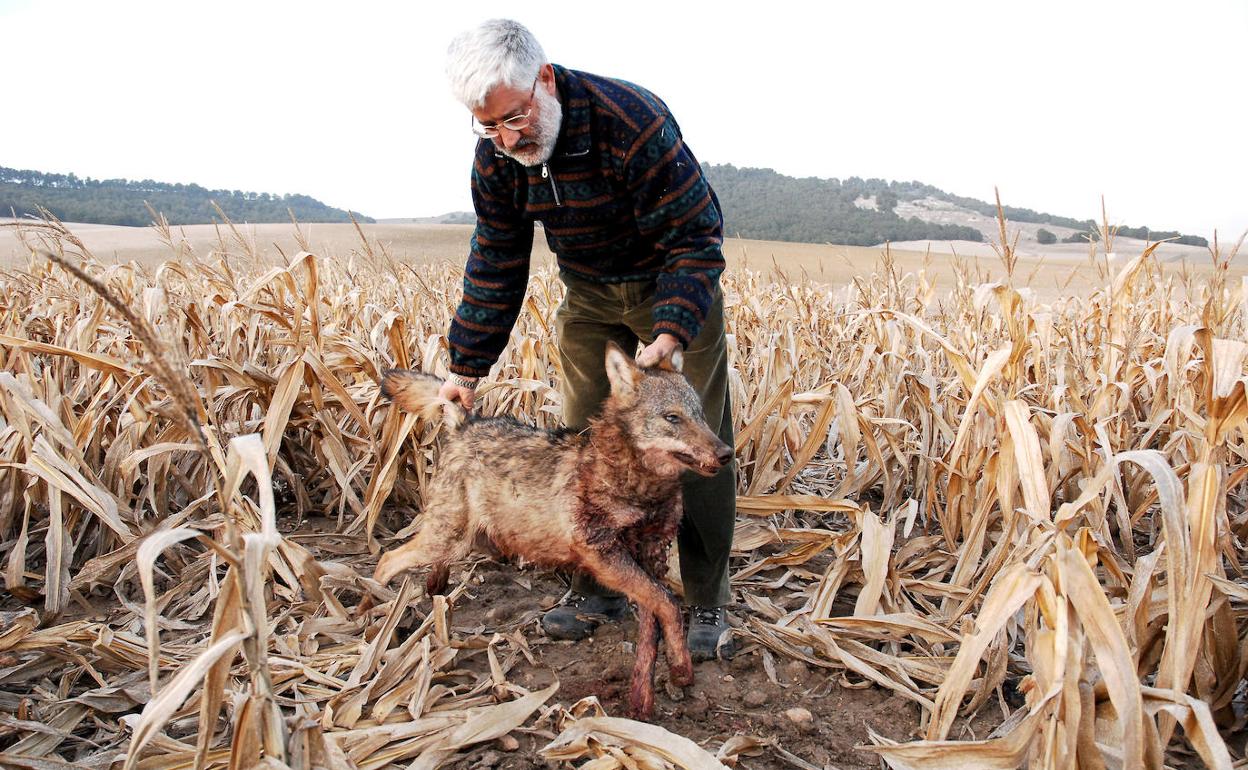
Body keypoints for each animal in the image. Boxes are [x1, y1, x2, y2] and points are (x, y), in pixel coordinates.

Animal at [374, 339, 733, 718]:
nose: (726, 453)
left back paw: (433, 595)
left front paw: (645, 697)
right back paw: (381, 619)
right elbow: (670, 605)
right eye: (673, 418)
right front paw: (679, 671)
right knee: (386, 560)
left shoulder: (653, 553)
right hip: (446, 539)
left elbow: (654, 625)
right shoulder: (601, 552)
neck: (639, 485)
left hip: (457, 542)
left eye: (701, 416)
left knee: (427, 567)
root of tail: (466, 423)